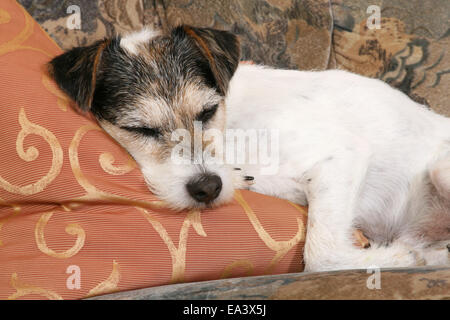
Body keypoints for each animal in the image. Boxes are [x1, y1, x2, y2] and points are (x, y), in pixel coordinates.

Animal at [47, 25, 448, 270]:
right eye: (140, 129)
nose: (208, 187)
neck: (233, 132)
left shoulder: (341, 157)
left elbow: (321, 254)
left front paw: (401, 258)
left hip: (440, 169)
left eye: (207, 111)